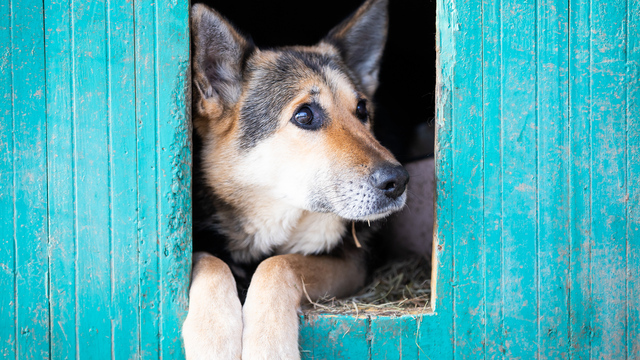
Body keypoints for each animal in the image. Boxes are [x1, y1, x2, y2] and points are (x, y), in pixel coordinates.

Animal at [182, 0, 408, 358]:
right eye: (304, 115)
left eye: (362, 110)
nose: (398, 181)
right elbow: (210, 262)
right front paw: (213, 335)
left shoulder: (350, 261)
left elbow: (280, 263)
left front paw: (269, 343)